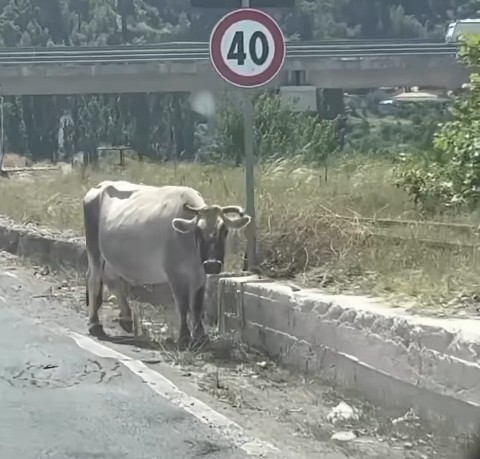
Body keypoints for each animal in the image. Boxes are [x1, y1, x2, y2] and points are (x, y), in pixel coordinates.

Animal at [83, 180, 251, 348]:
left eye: (224, 231)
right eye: (197, 231)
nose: (212, 264)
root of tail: (100, 186)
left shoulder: (200, 275)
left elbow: (197, 305)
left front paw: (201, 336)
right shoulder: (174, 275)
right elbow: (182, 305)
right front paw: (184, 336)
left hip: (110, 259)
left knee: (112, 280)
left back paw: (126, 318)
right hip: (94, 250)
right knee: (94, 280)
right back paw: (94, 324)